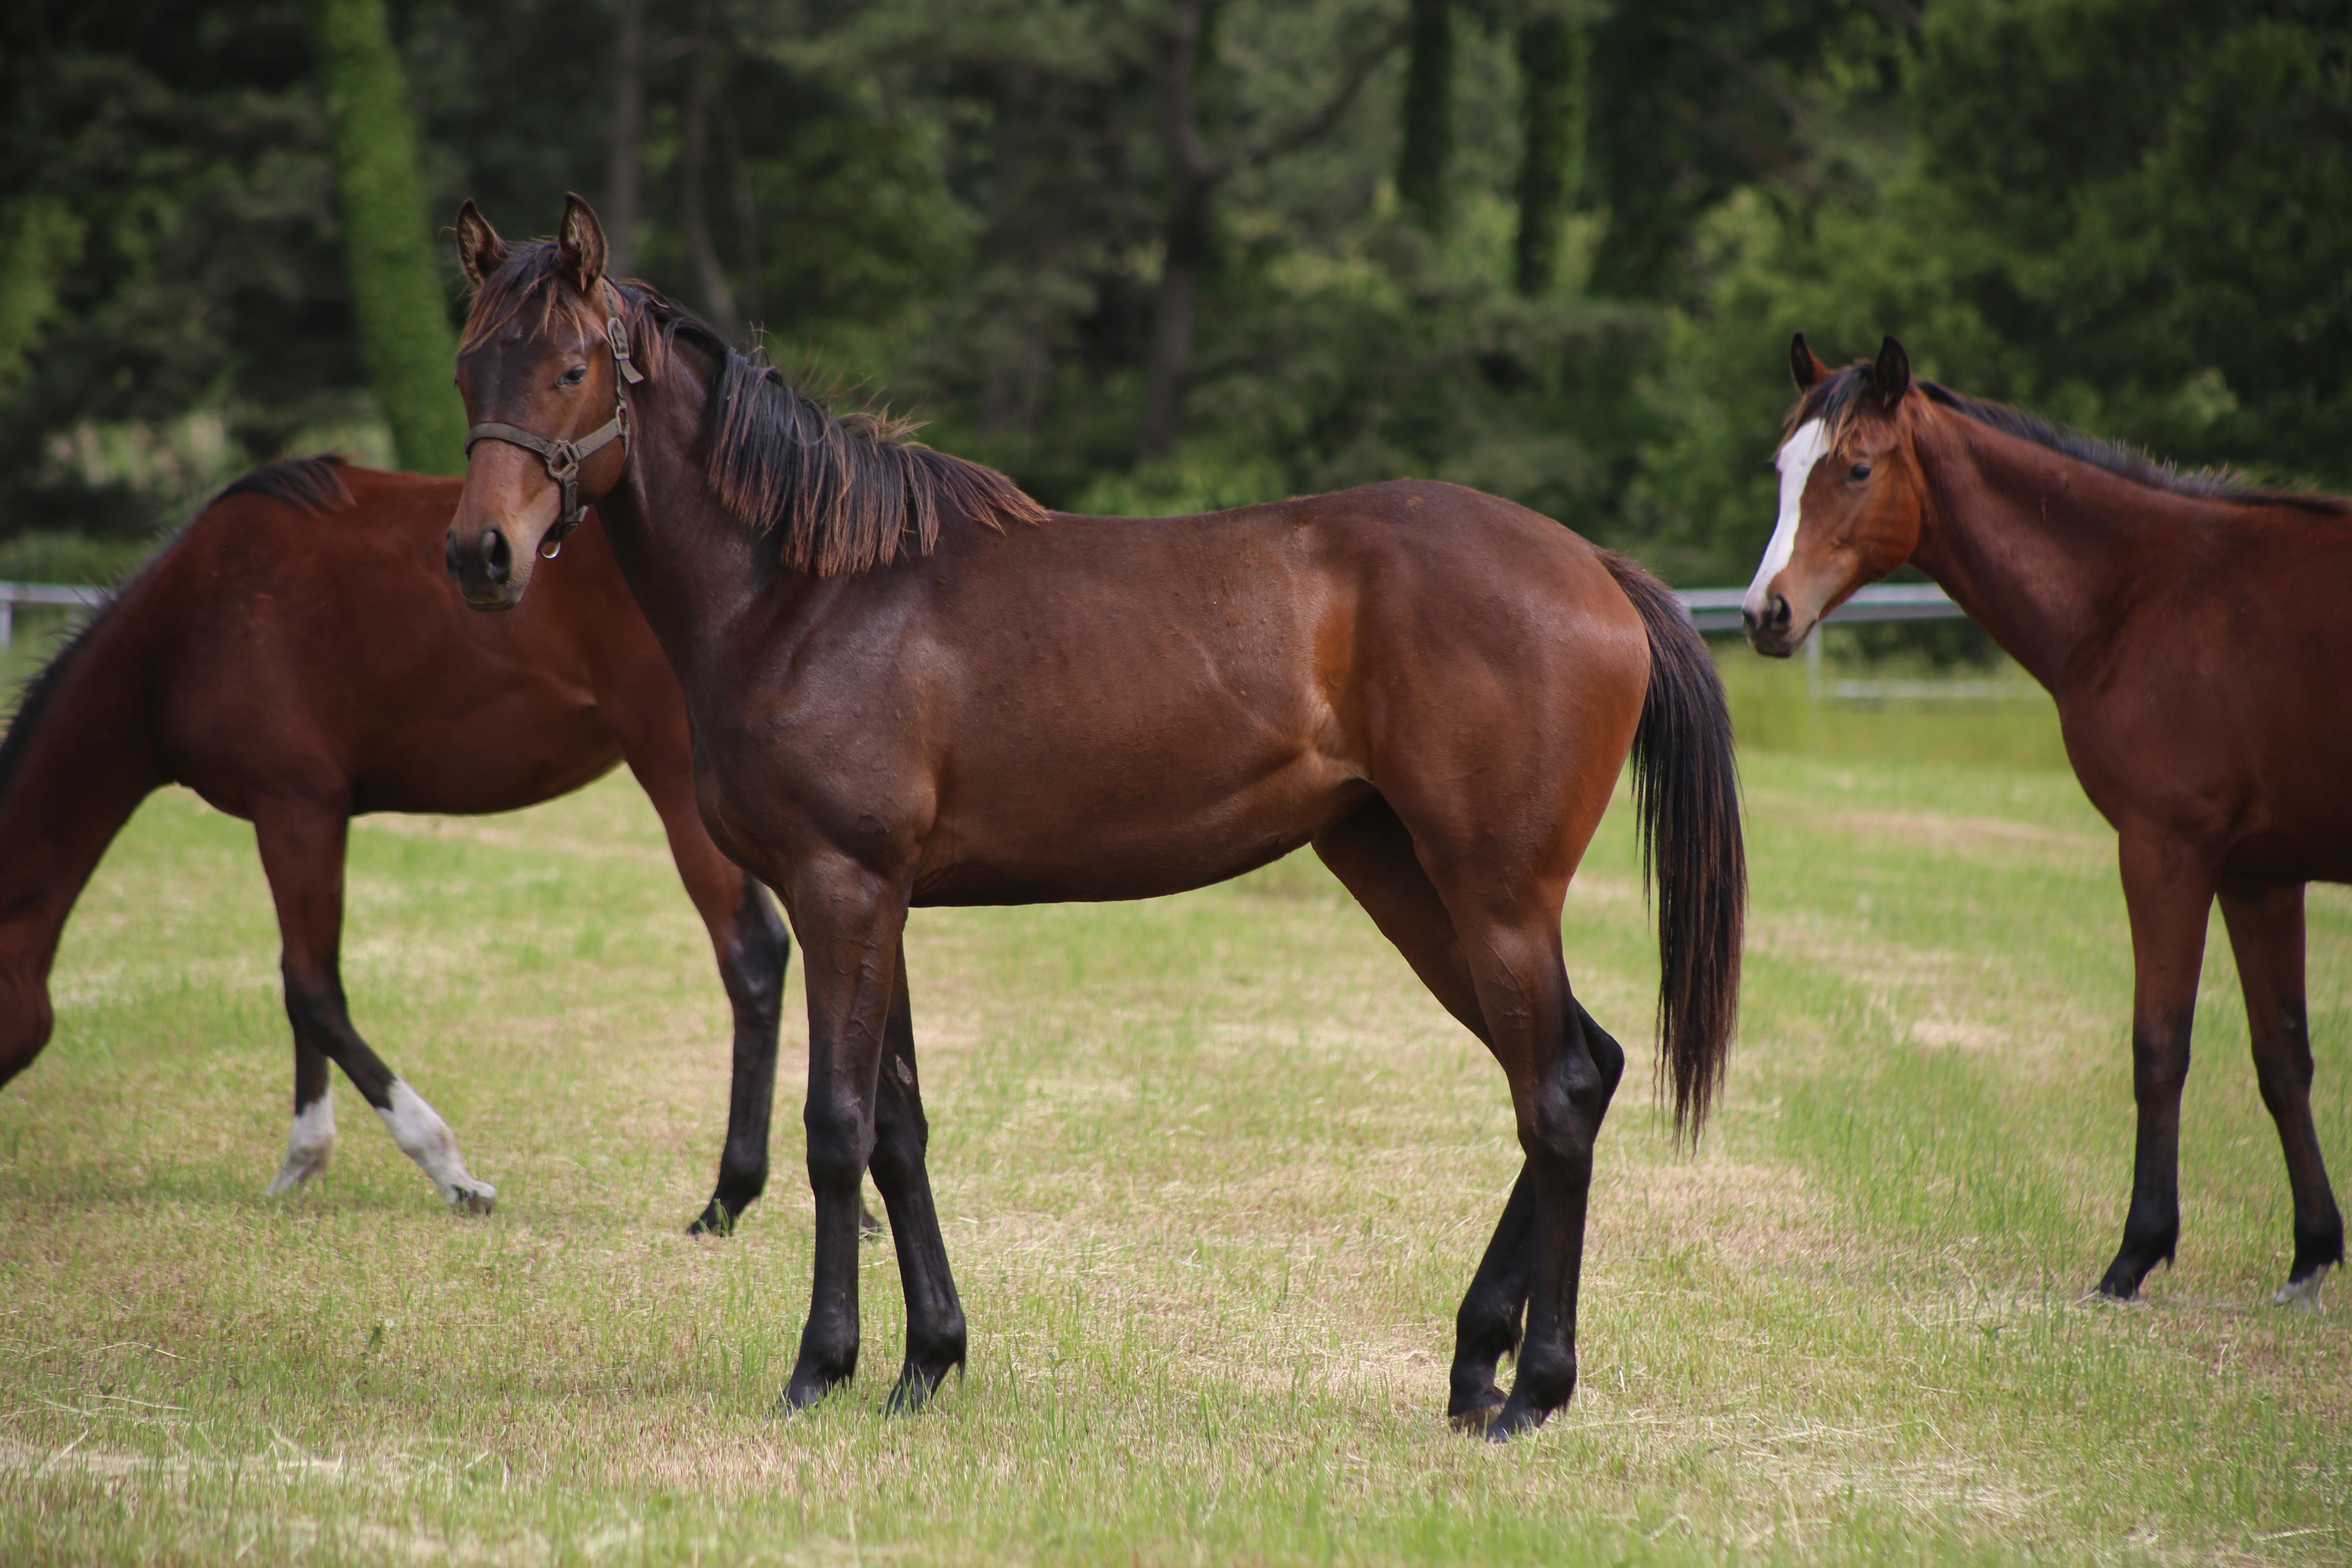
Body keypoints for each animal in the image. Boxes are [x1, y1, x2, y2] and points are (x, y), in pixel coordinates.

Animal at [0, 456, 790, 1241]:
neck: (179, 634)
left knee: (754, 952)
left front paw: (451, 1171)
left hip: (674, 777)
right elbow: (299, 986)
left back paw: (729, 1196)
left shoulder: (296, 807)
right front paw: (302, 1163)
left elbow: (315, 992)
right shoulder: (290, 816)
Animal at [442, 200, 1750, 1448]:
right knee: (1580, 1069)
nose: (479, 554)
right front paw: (927, 1364)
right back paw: (1475, 1364)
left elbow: (837, 1128)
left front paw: (822, 1368)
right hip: (1404, 877)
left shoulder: (840, 887)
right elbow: (901, 1131)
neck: (805, 595)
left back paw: (1534, 1388)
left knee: (1558, 1094)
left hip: (1495, 894)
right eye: (468, 368)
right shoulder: (881, 903)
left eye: (571, 368)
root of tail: (1593, 567)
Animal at [1750, 334, 2352, 1316]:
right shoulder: (2258, 875)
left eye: (1857, 468)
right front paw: (2311, 1256)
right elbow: (2283, 1056)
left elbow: (2160, 1049)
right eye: (1781, 469)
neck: (2145, 591)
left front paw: (2135, 1256)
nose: (1765, 612)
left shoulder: (2166, 853)